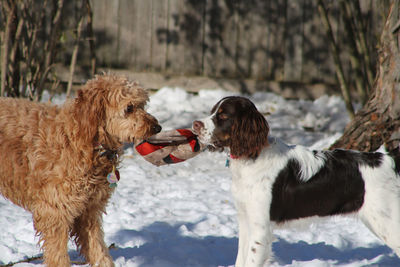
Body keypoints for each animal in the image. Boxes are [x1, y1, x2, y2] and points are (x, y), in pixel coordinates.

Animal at [0, 74, 161, 266]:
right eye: (129, 108)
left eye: (143, 105)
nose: (157, 127)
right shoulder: (54, 212)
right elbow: (58, 256)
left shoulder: (89, 211)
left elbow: (98, 249)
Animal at [192, 96, 398, 267]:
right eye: (212, 111)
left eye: (223, 115)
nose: (195, 125)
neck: (252, 156)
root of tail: (391, 161)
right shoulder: (245, 220)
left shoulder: (261, 229)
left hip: (387, 223)